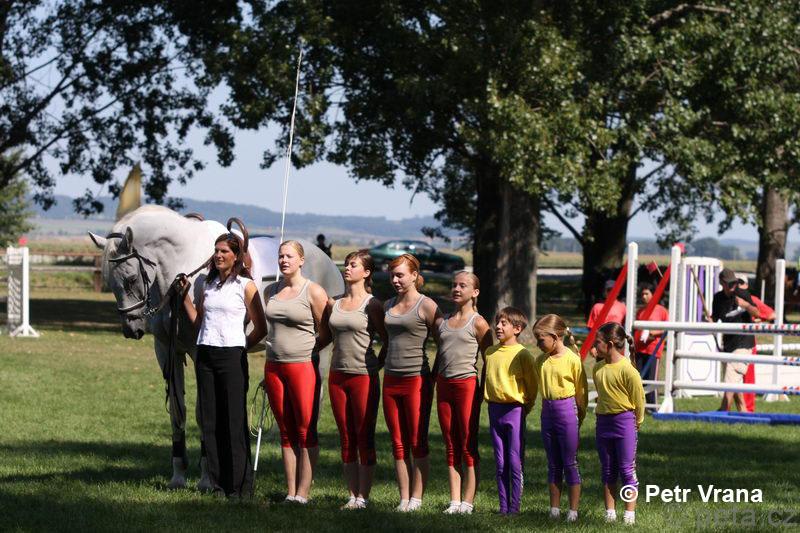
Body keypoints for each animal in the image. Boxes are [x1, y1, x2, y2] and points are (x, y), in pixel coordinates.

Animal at [89, 205, 344, 489]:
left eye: (131, 278)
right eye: (109, 283)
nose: (131, 329)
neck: (183, 264)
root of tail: (329, 265)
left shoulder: (199, 351)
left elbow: (203, 412)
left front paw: (206, 479)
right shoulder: (167, 350)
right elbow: (177, 412)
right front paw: (178, 475)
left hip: (319, 354)